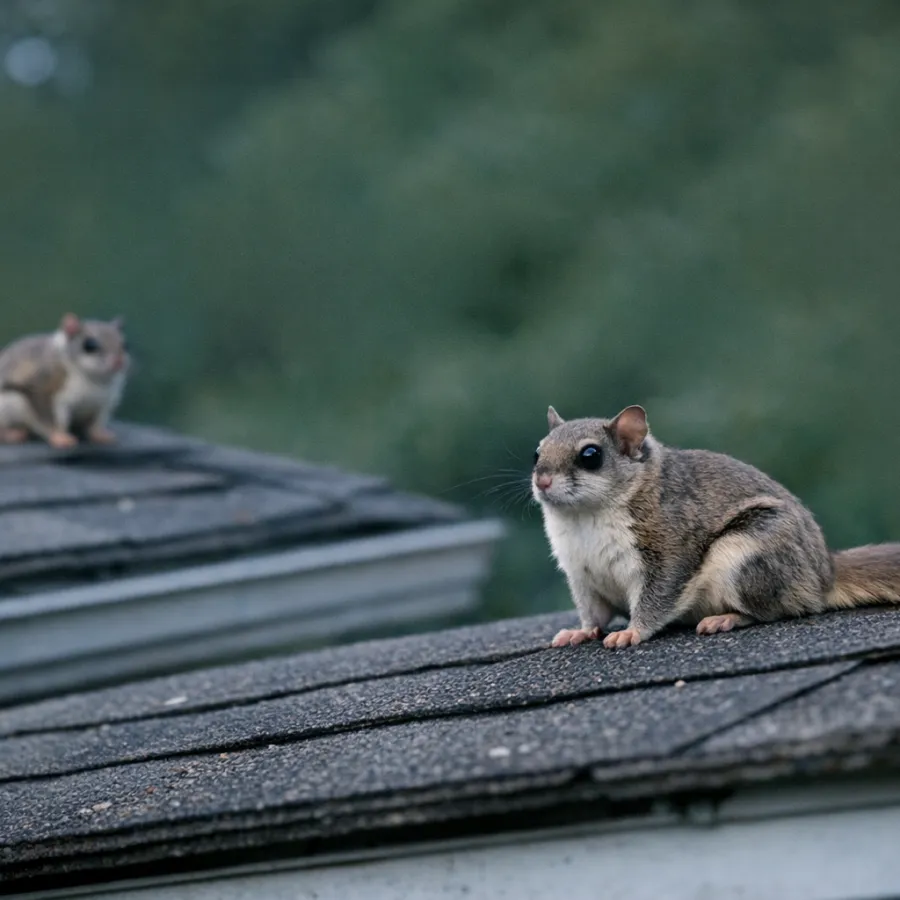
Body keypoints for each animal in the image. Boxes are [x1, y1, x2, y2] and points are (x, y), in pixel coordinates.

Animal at [0, 313, 130, 449]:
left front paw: (100, 434)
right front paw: (59, 437)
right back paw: (10, 433)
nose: (119, 362)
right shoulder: (44, 388)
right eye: (89, 345)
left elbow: (97, 423)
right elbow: (48, 418)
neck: (95, 380)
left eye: (125, 345)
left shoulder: (104, 403)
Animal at [533, 404, 900, 649]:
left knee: (776, 611)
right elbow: (593, 613)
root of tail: (824, 574)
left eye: (590, 456)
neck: (584, 519)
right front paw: (580, 631)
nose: (542, 480)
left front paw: (632, 631)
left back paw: (727, 618)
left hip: (749, 558)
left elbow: (658, 595)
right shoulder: (582, 574)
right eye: (536, 452)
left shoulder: (668, 546)